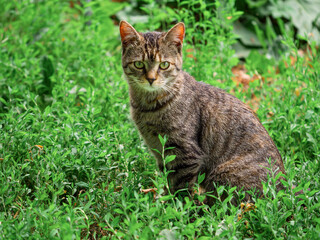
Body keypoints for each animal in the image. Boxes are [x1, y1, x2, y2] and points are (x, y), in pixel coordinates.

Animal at [119, 21, 284, 204]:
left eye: (164, 65)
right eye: (139, 64)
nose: (151, 79)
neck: (149, 106)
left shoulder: (185, 152)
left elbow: (182, 188)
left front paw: (179, 207)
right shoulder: (159, 151)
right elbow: (169, 181)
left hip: (222, 176)